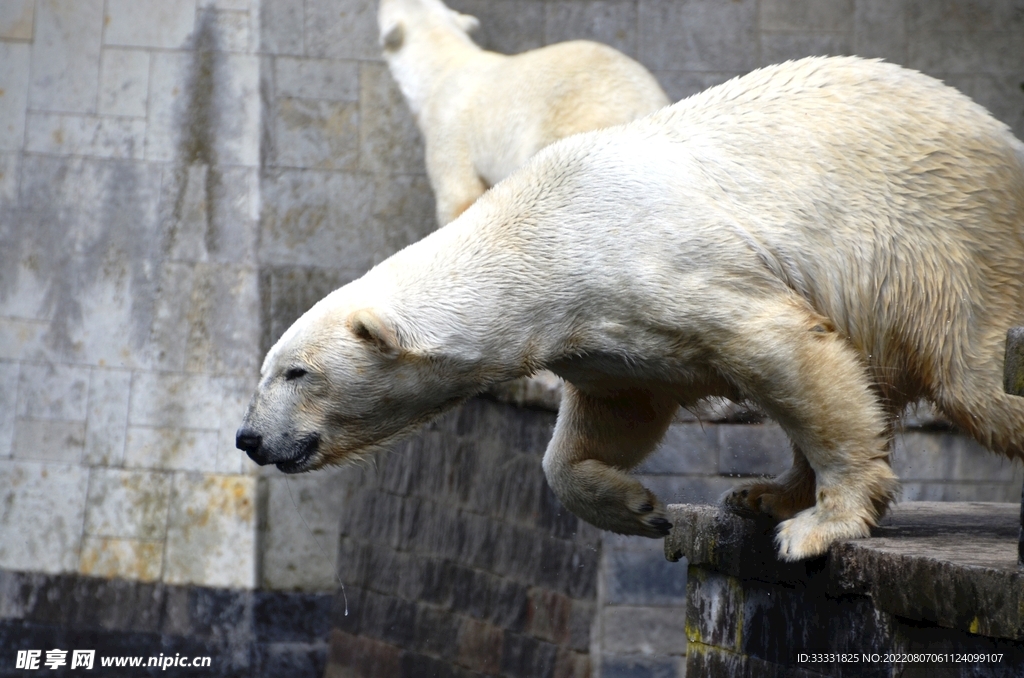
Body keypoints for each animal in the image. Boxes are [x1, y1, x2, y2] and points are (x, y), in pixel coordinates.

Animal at [237, 55, 1024, 561]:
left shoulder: (674, 268)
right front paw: (642, 510)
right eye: (267, 370)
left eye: (296, 373)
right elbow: (611, 418)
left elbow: (785, 350)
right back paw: (763, 494)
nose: (249, 438)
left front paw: (822, 526)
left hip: (954, 254)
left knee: (977, 384)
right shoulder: (601, 332)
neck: (548, 236)